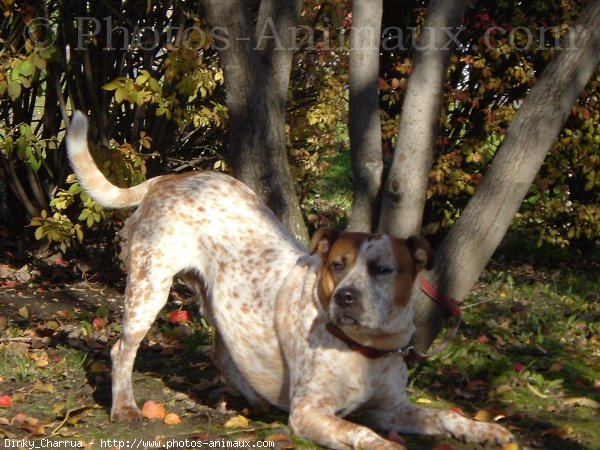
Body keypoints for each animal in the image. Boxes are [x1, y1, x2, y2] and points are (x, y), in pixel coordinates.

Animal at [67, 110, 516, 450]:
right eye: (337, 265)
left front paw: (484, 429)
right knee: (122, 350)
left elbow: (444, 416)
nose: (346, 298)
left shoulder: (392, 408)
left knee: (222, 354)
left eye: (383, 269)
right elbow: (362, 434)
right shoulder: (312, 412)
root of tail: (169, 178)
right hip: (149, 291)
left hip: (220, 306)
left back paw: (255, 398)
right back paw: (125, 407)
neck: (365, 349)